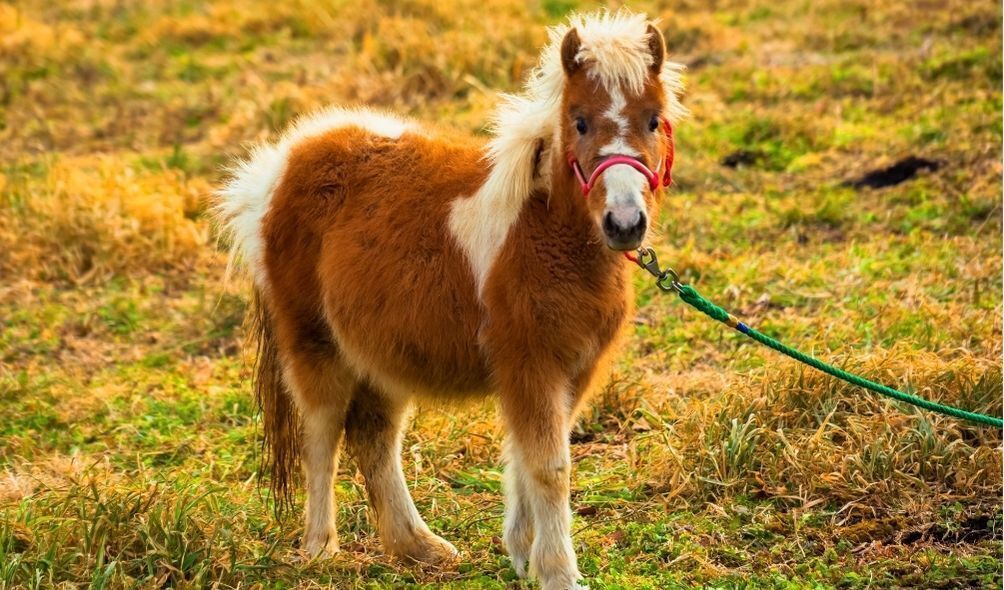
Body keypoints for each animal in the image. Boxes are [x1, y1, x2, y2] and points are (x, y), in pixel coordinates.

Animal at [215, 10, 686, 590]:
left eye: (653, 120)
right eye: (578, 121)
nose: (624, 223)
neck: (541, 233)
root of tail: (279, 168)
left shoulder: (573, 370)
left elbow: (525, 458)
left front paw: (522, 554)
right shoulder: (530, 365)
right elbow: (550, 467)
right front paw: (558, 572)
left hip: (380, 357)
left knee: (373, 438)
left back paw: (420, 548)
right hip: (313, 344)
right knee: (322, 433)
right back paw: (319, 548)